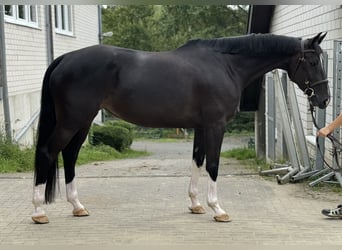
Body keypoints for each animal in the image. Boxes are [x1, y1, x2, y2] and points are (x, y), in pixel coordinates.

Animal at [31, 32, 328, 223]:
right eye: (313, 62)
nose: (324, 99)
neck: (226, 65)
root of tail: (65, 58)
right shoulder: (215, 126)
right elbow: (213, 165)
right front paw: (218, 209)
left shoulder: (200, 127)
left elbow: (197, 161)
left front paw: (196, 205)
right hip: (72, 121)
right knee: (48, 152)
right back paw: (38, 212)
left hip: (83, 122)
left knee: (69, 156)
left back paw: (77, 207)